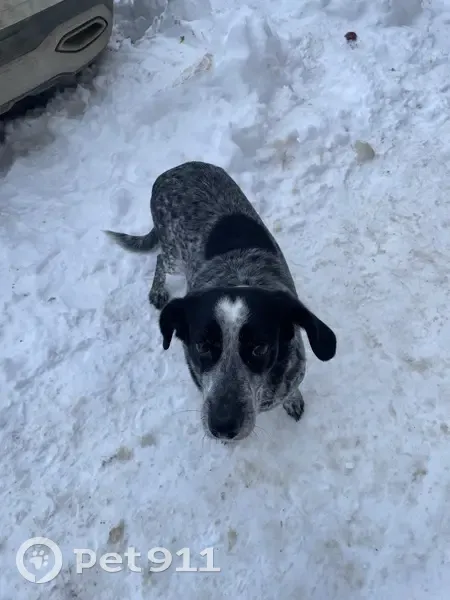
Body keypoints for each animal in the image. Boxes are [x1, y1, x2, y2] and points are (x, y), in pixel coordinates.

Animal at [105, 161, 336, 442]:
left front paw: (292, 400)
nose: (223, 426)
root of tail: (172, 169)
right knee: (160, 257)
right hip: (174, 254)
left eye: (259, 348)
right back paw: (157, 291)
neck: (238, 275)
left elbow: (290, 390)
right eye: (203, 346)